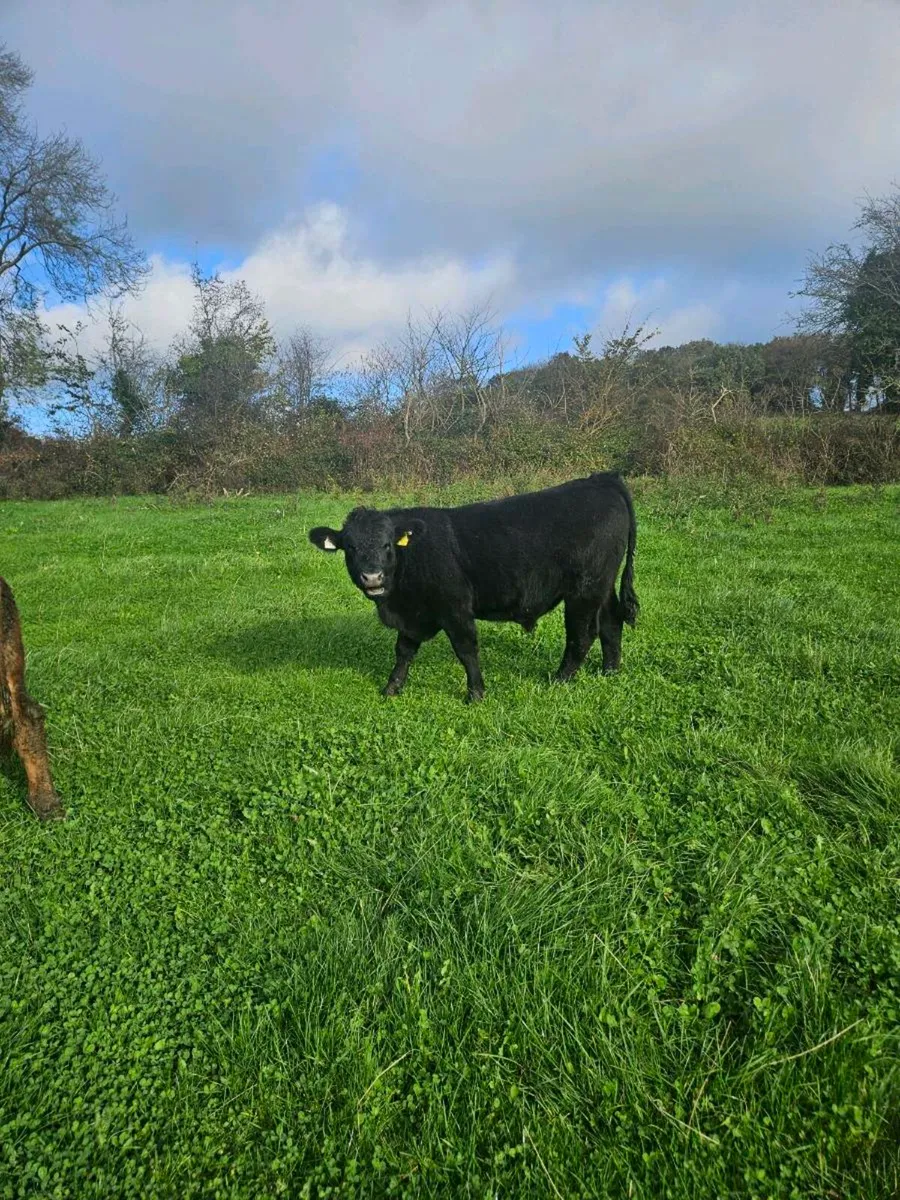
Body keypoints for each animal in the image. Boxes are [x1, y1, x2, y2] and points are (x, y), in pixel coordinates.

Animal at [309, 471, 638, 702]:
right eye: (350, 548)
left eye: (387, 545)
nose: (373, 577)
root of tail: (602, 479)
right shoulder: (414, 613)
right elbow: (403, 651)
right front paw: (391, 688)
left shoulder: (455, 608)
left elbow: (466, 649)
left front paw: (476, 693)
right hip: (604, 584)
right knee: (611, 622)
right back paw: (610, 671)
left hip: (585, 588)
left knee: (582, 633)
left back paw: (560, 679)